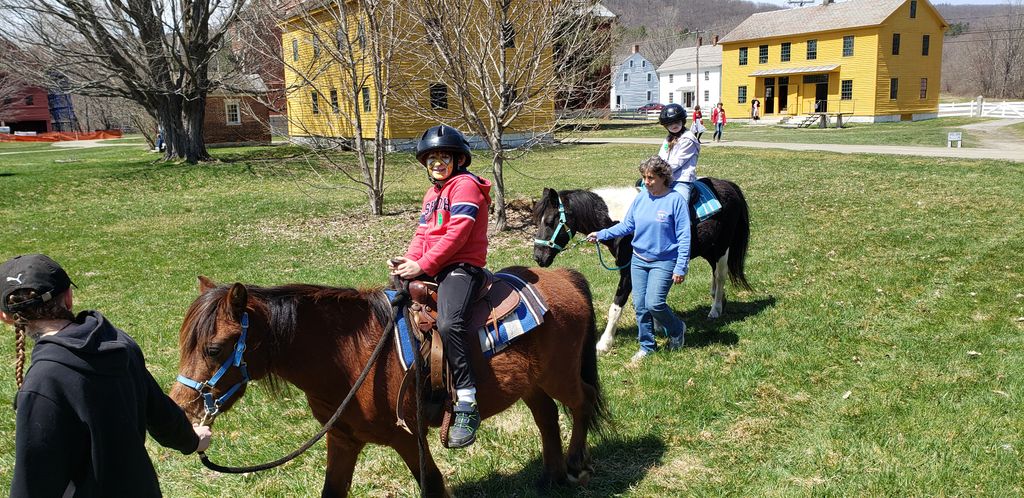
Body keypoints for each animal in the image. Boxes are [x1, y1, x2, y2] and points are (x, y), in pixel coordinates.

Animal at [167, 268, 606, 498]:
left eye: (214, 348)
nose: (184, 408)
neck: (352, 357)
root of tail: (563, 275)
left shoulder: (407, 436)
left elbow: (433, 485)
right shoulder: (342, 439)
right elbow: (333, 491)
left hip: (561, 375)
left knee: (581, 403)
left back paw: (574, 465)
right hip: (532, 383)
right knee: (547, 416)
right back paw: (550, 476)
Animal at [536, 179, 753, 350]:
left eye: (550, 221)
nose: (538, 257)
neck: (625, 222)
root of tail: (729, 185)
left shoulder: (627, 272)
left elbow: (616, 307)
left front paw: (604, 343)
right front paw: (658, 325)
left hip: (722, 248)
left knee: (721, 275)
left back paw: (715, 310)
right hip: (708, 249)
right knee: (715, 274)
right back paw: (718, 299)